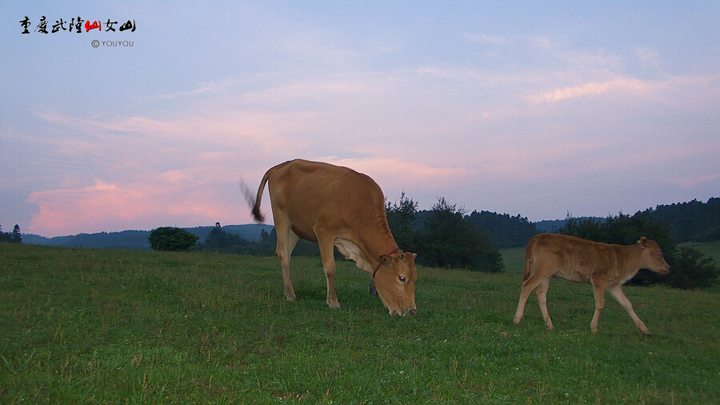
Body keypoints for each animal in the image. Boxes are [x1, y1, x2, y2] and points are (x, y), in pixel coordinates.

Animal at [248, 159, 420, 316]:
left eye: (415, 279)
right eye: (402, 278)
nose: (411, 311)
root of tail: (280, 165)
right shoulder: (324, 231)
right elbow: (330, 268)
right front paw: (333, 302)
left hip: (295, 227)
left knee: (287, 255)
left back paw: (287, 291)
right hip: (281, 217)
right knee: (283, 254)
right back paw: (291, 295)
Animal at [512, 232, 668, 332]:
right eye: (658, 252)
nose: (668, 267)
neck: (624, 258)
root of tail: (538, 236)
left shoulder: (614, 286)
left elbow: (627, 304)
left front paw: (644, 328)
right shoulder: (598, 279)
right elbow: (600, 304)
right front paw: (593, 327)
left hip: (547, 275)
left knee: (540, 294)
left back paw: (549, 325)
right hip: (542, 270)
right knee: (527, 286)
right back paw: (517, 319)